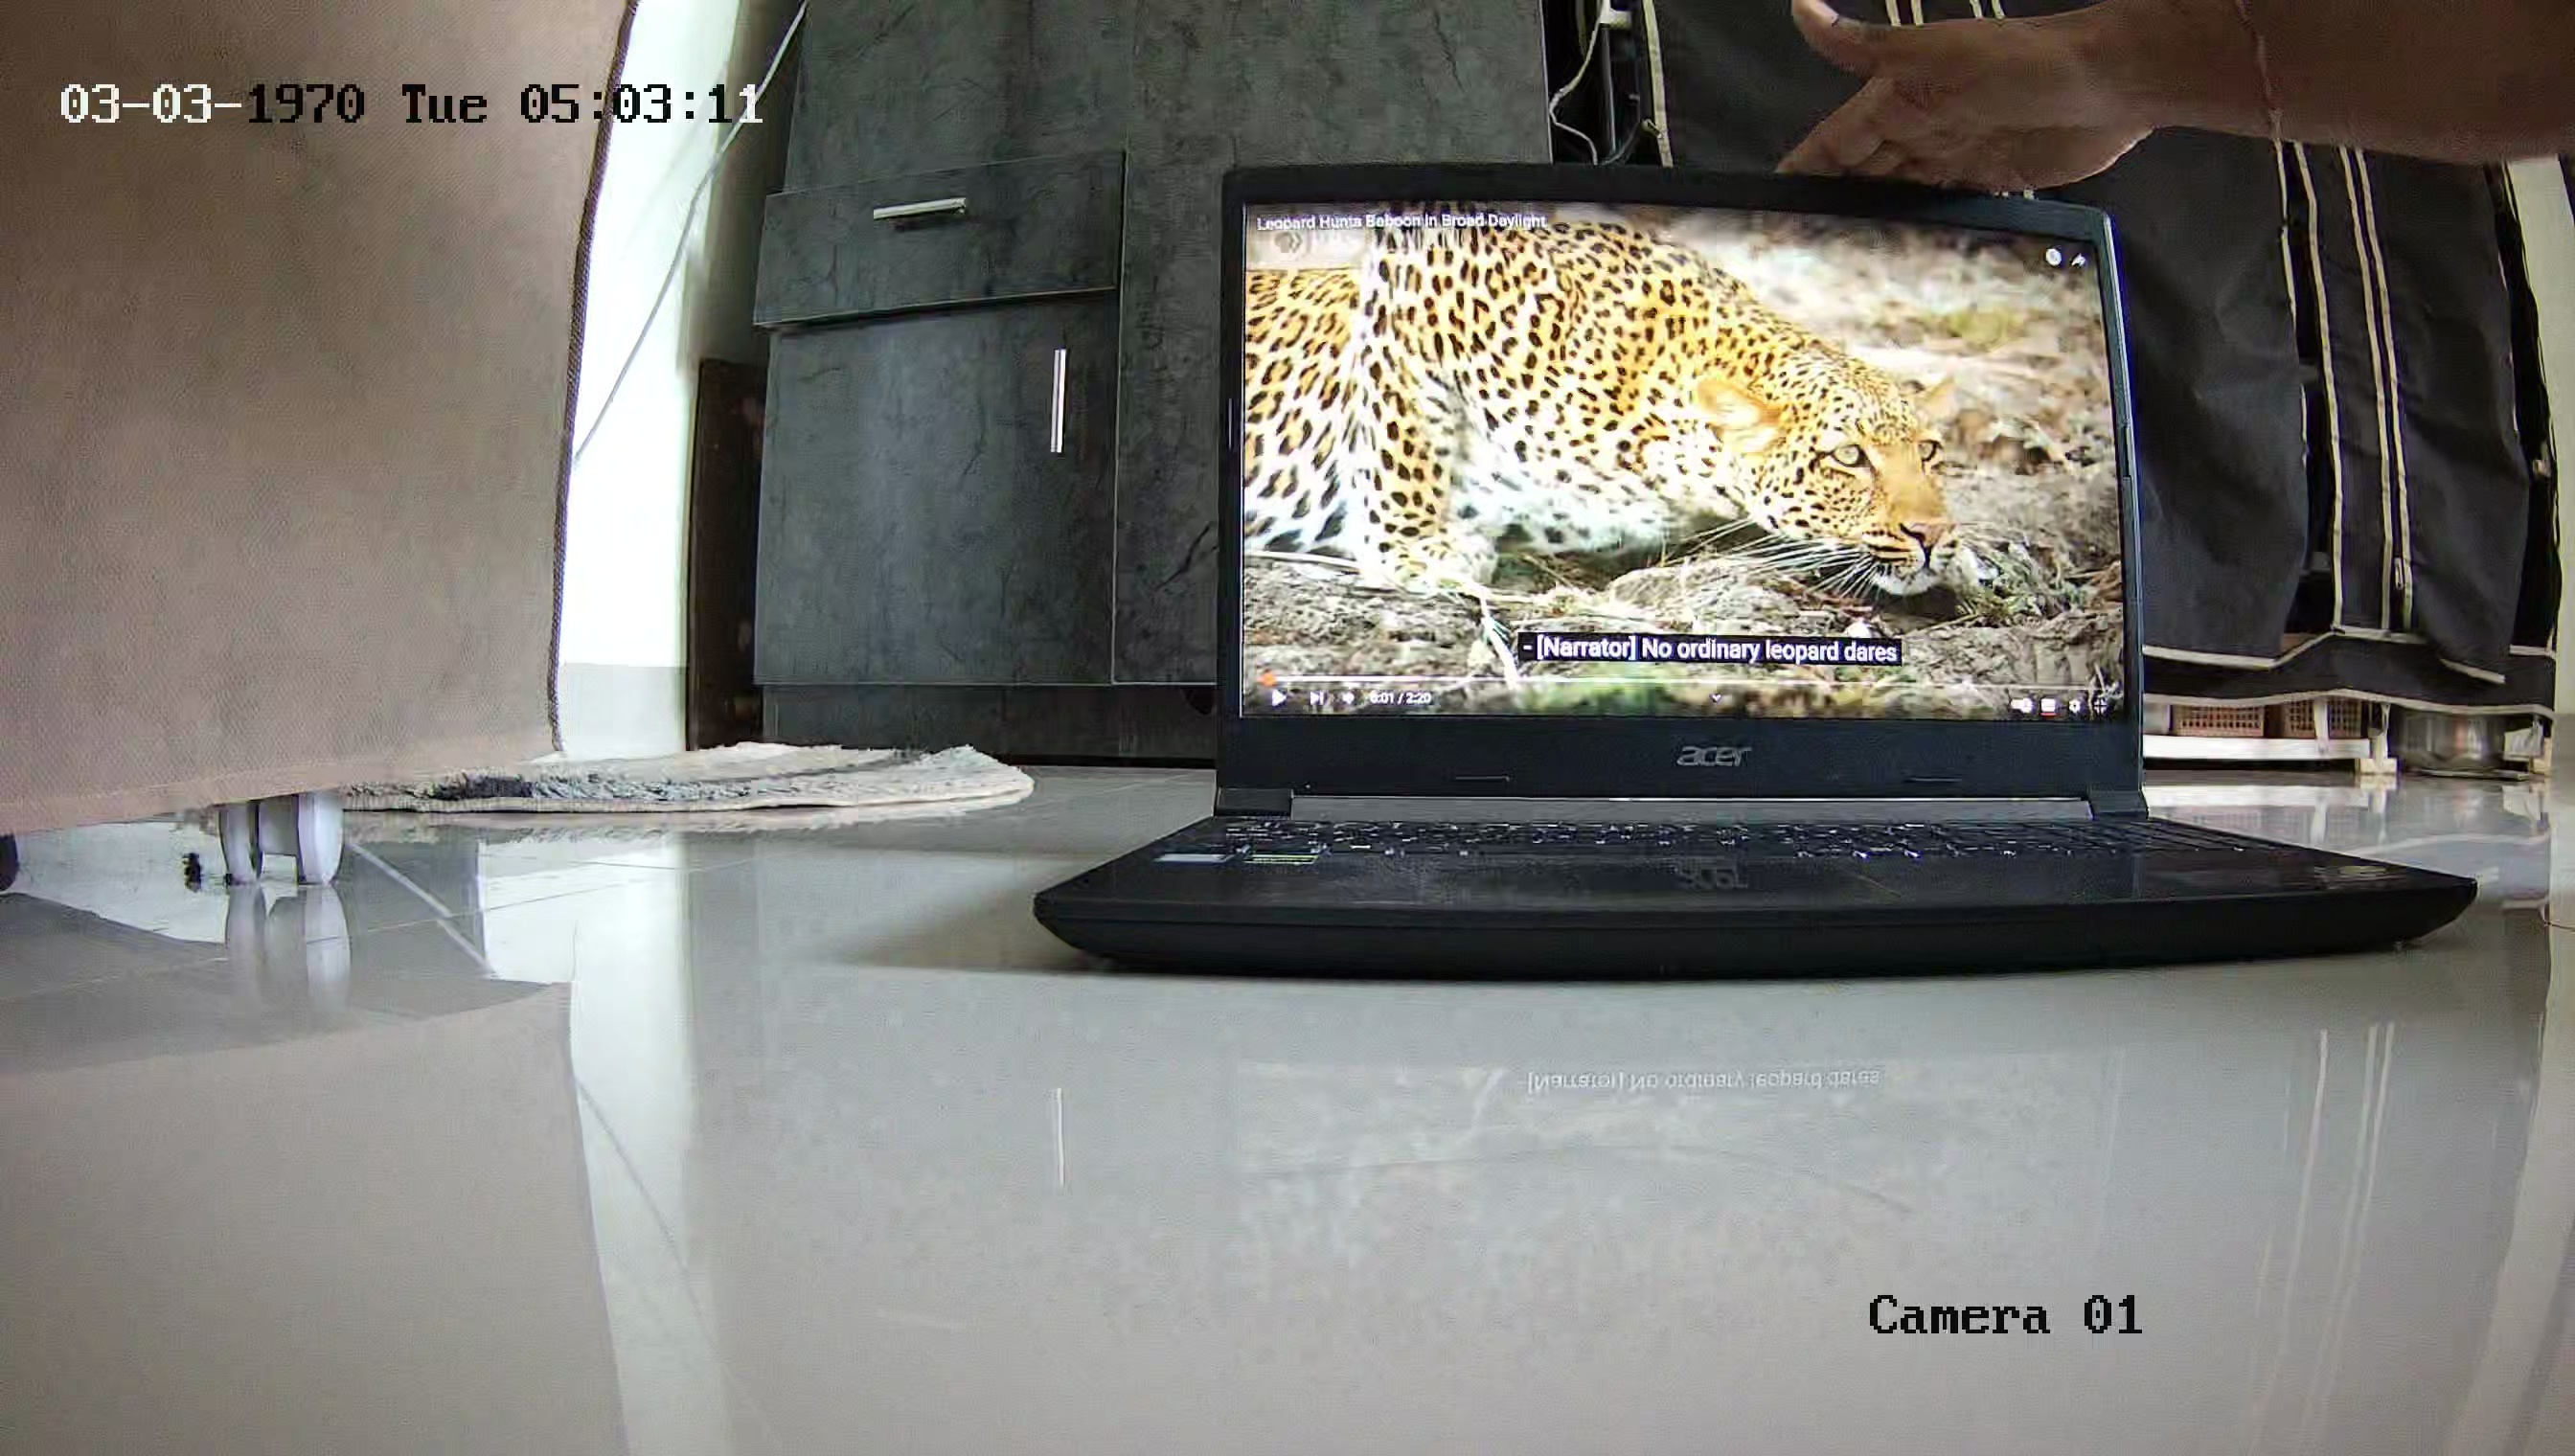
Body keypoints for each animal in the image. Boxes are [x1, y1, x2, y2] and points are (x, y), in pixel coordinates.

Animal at [1239, 217, 1958, 598]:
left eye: (1929, 453)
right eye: (1849, 458)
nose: (1932, 534)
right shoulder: (1422, 270)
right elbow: (1401, 436)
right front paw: (1415, 552)